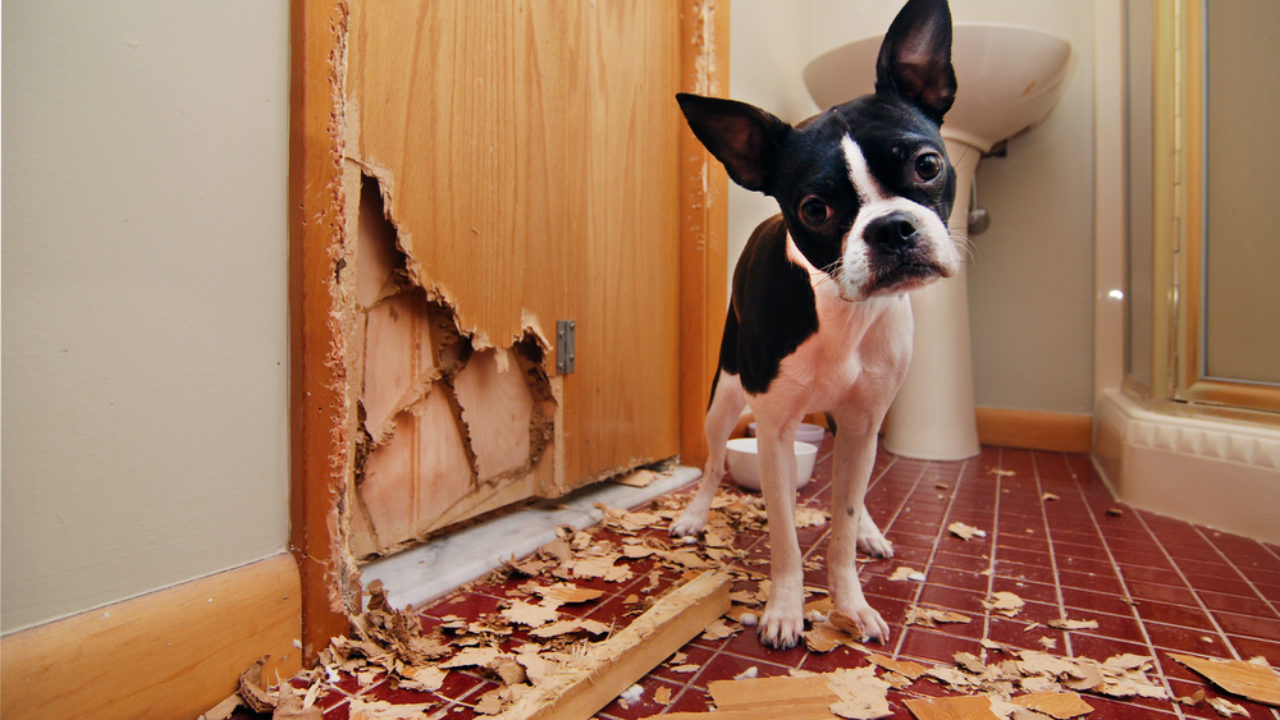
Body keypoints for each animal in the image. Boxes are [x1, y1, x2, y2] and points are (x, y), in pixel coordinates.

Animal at [670, 0, 962, 645]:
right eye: (814, 209)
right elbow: (784, 537)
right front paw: (785, 609)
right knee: (711, 463)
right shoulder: (775, 432)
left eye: (928, 165)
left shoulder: (861, 422)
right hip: (723, 398)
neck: (843, 312)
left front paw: (850, 604)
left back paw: (872, 531)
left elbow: (843, 524)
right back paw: (695, 514)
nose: (891, 228)